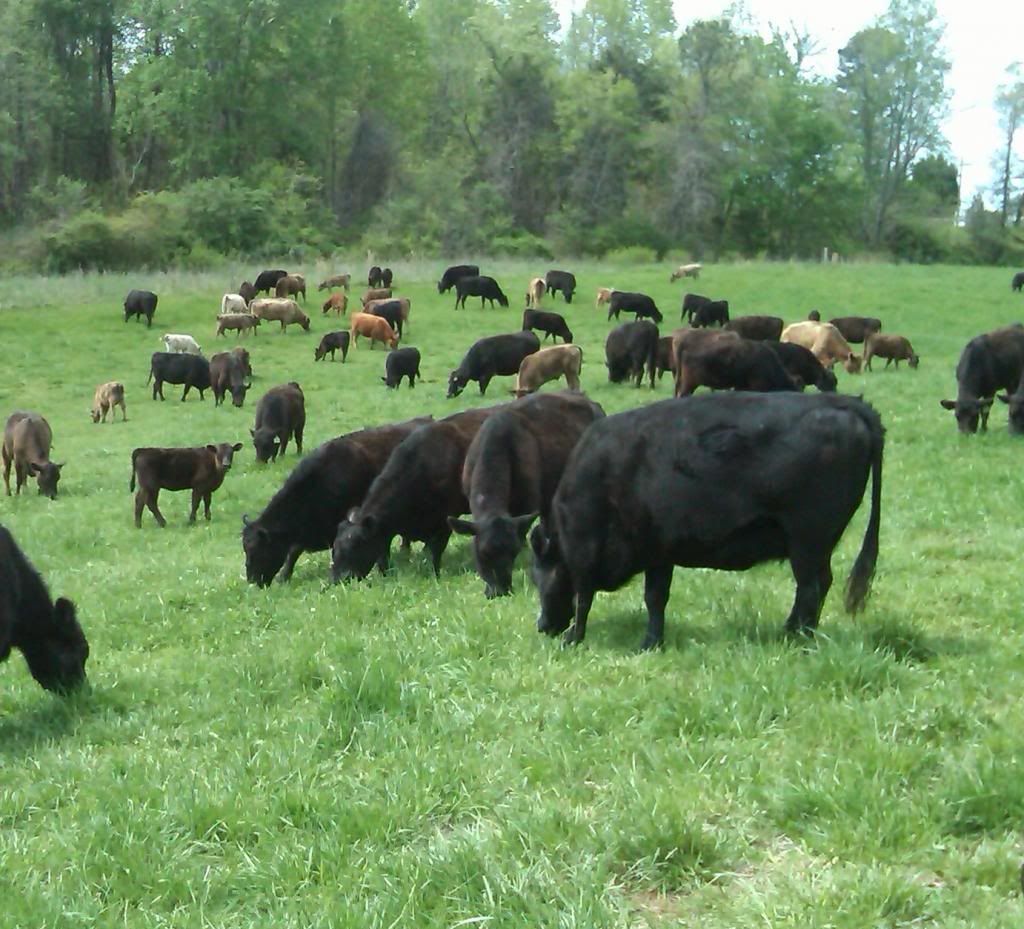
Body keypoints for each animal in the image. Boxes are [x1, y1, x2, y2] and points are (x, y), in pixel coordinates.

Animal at [331, 406, 504, 581]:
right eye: (334, 548)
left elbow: (433, 552)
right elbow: (383, 557)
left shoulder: (444, 523)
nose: (337, 580)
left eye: (356, 545)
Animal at [528, 392, 883, 650]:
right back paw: (790, 630)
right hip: (812, 546)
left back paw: (797, 637)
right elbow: (655, 598)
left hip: (807, 541)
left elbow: (585, 597)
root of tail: (847, 403)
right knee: (814, 586)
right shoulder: (659, 554)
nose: (542, 626)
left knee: (811, 587)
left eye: (537, 575)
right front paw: (651, 642)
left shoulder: (585, 550)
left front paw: (574, 638)